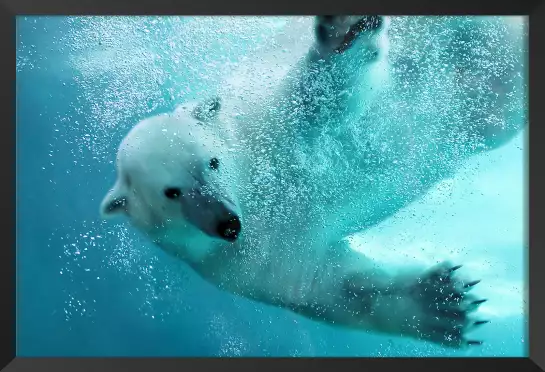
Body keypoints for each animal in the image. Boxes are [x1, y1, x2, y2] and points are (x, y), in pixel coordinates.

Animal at [100, 16, 524, 348]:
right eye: (171, 193)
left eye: (212, 163)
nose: (228, 223)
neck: (253, 183)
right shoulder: (244, 262)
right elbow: (329, 286)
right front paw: (443, 304)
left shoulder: (270, 123)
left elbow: (322, 93)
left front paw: (342, 31)